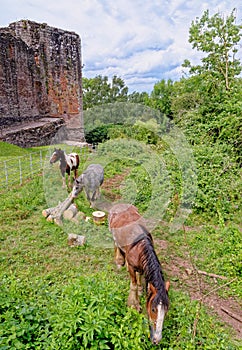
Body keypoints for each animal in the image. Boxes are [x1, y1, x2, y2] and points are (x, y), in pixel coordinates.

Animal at [108, 202, 169, 344]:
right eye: (153, 309)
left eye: (166, 310)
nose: (157, 339)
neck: (139, 246)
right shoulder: (132, 267)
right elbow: (133, 285)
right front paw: (134, 304)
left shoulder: (142, 266)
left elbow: (140, 277)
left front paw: (142, 289)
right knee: (115, 245)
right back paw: (119, 261)